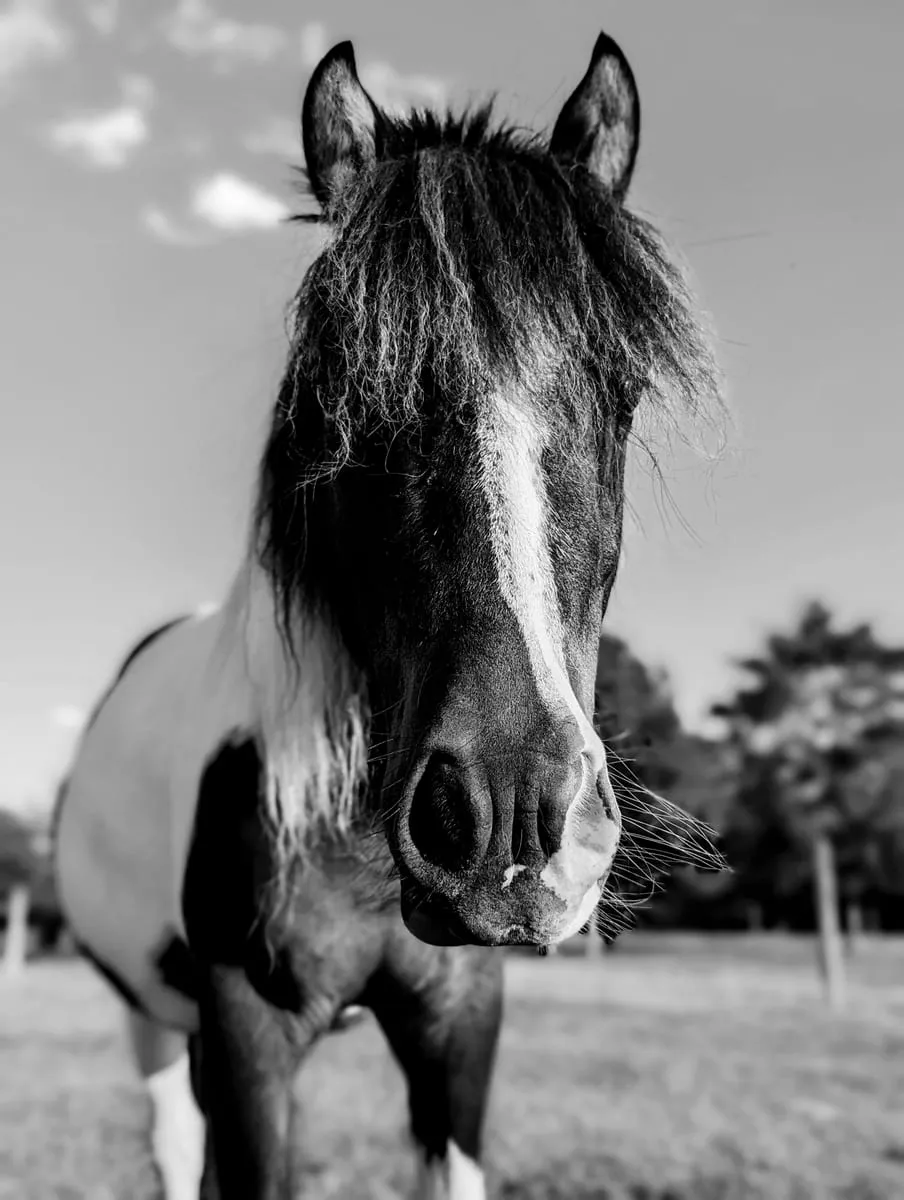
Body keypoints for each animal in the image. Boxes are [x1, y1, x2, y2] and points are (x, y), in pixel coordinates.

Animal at [53, 31, 720, 1200]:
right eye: (342, 390)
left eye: (623, 386)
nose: (508, 821)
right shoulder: (245, 1036)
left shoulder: (460, 1020)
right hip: (152, 1016)